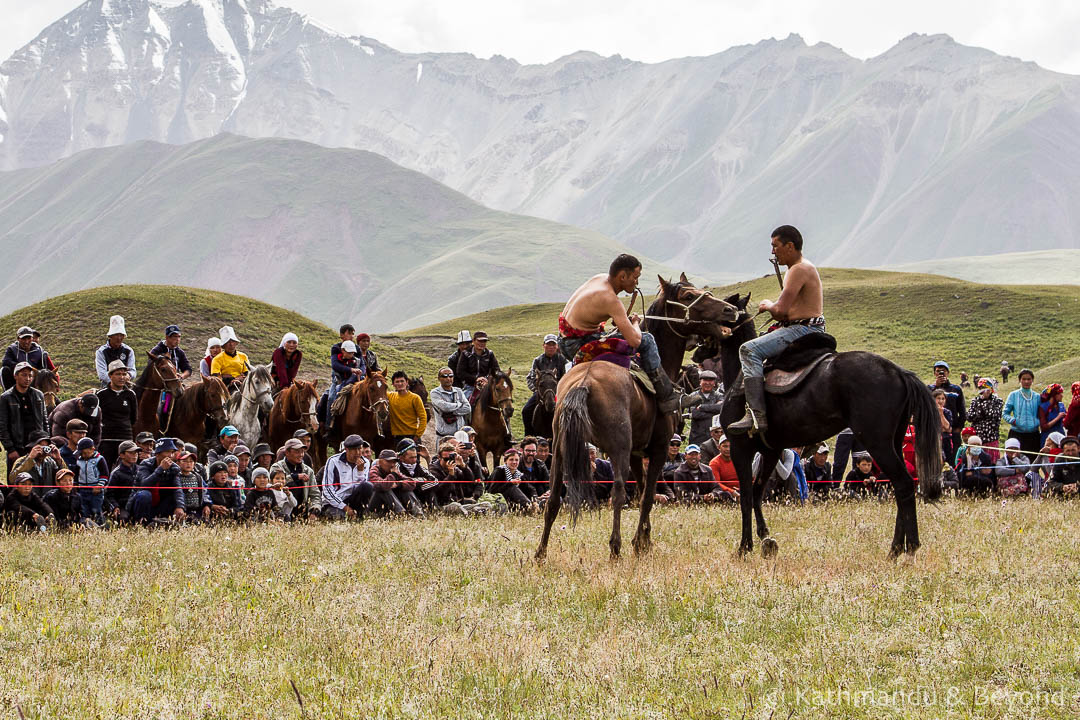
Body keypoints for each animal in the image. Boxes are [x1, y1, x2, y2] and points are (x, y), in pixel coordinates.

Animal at [535, 273, 738, 561]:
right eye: (688, 296)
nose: (730, 310)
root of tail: (583, 385)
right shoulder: (658, 448)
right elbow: (648, 495)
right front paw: (640, 542)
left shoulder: (635, 453)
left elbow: (642, 491)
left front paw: (643, 540)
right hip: (616, 446)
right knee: (619, 492)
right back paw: (615, 548)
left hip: (561, 448)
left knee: (553, 499)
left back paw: (541, 552)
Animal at [721, 289, 941, 561]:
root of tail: (899, 372)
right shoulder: (771, 452)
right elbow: (757, 492)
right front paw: (766, 539)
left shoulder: (740, 448)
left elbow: (746, 497)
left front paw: (745, 546)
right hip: (895, 441)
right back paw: (898, 547)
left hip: (877, 442)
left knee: (903, 484)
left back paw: (906, 549)